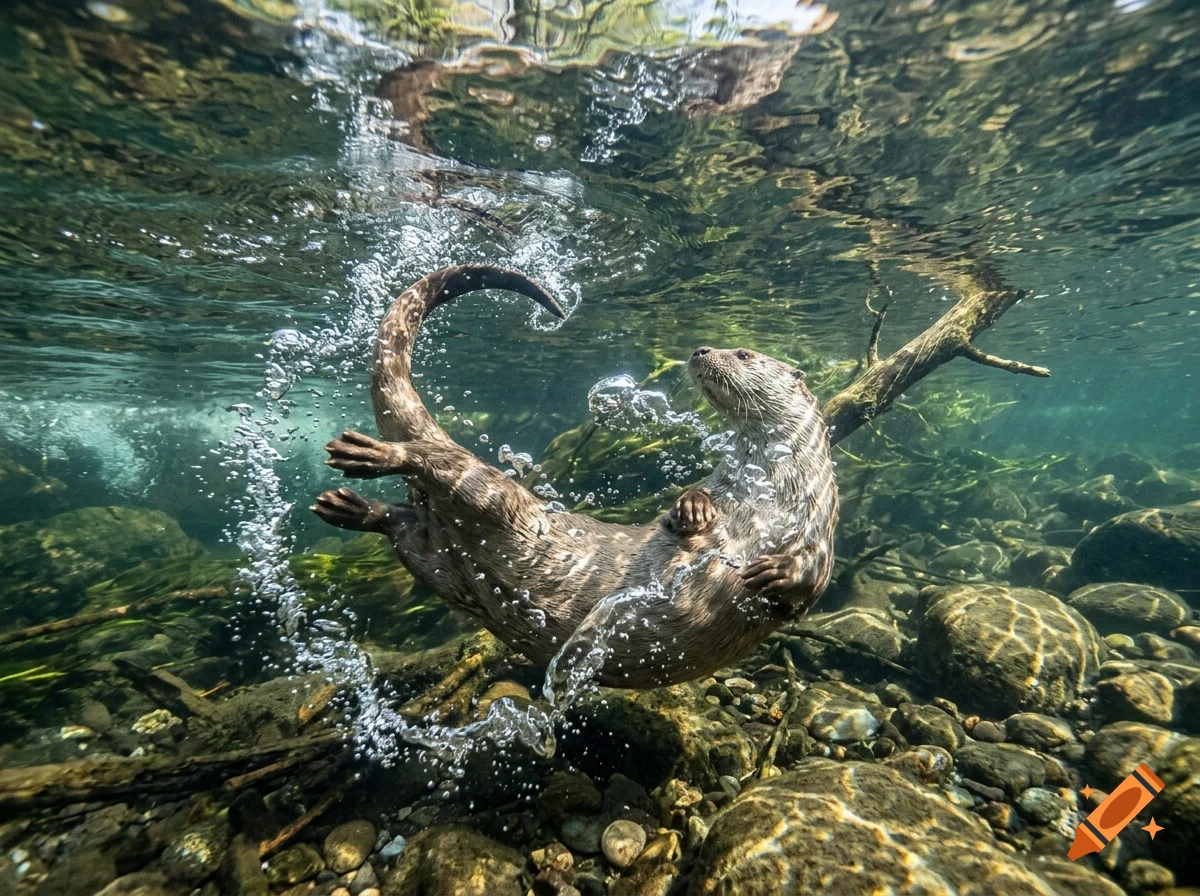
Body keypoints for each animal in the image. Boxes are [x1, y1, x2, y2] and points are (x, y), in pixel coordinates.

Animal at [312, 264, 838, 688]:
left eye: (745, 353)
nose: (702, 348)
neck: (763, 491)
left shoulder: (820, 526)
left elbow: (812, 582)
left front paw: (775, 571)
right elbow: (679, 514)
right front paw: (693, 508)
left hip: (437, 560)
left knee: (404, 522)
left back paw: (349, 504)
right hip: (491, 499)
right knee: (431, 465)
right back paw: (367, 458)